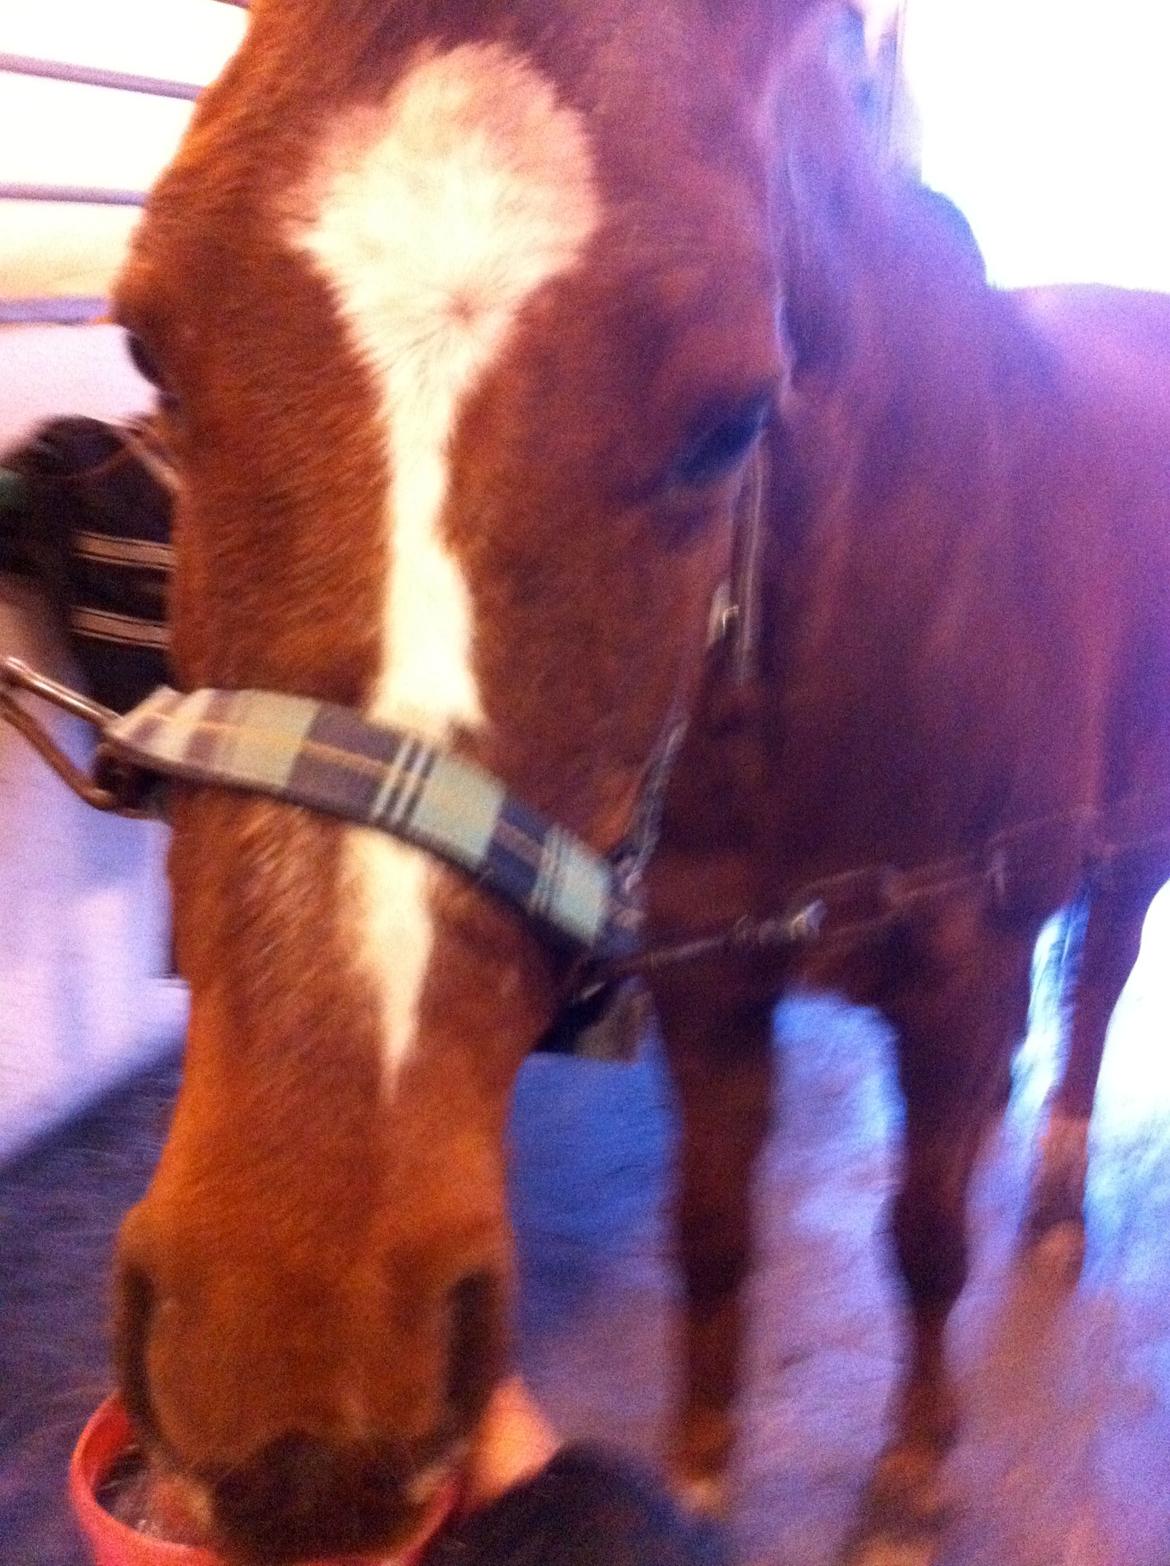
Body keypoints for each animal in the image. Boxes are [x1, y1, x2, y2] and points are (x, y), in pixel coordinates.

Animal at [104, 0, 1170, 1560]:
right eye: (152, 349)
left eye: (730, 418)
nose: (292, 1382)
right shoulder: (710, 977)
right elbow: (712, 1231)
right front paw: (697, 1472)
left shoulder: (959, 957)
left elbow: (922, 1240)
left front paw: (910, 1475)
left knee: (1092, 990)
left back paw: (1048, 1191)